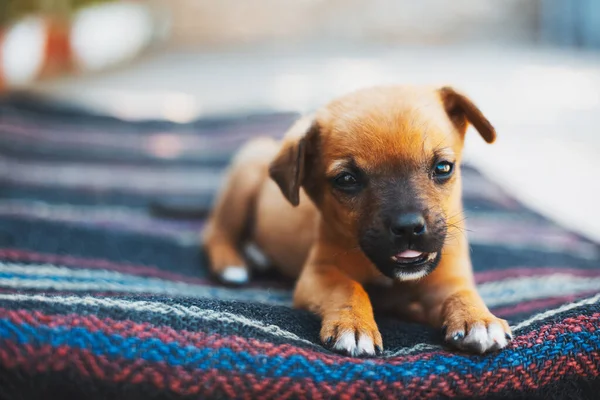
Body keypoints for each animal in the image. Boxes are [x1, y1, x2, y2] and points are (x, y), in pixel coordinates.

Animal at [202, 85, 510, 356]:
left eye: (443, 167)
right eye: (347, 180)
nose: (409, 227)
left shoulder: (446, 278)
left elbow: (460, 293)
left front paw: (478, 319)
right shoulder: (319, 273)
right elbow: (348, 286)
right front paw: (354, 326)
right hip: (244, 177)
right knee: (215, 231)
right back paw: (233, 265)